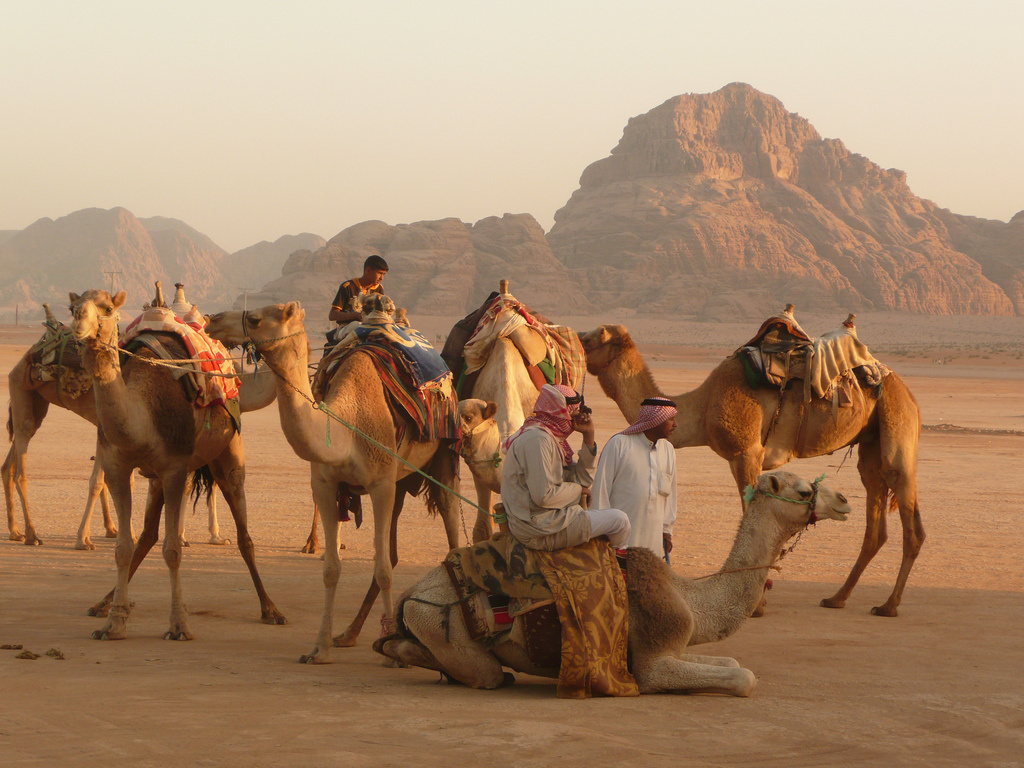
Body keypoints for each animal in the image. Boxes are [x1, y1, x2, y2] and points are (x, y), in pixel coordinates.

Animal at [71, 290, 284, 643]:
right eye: (73, 307)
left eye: (107, 309)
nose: (78, 324)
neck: (142, 415)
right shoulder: (118, 467)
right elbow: (123, 548)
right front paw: (113, 624)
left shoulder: (174, 469)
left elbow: (172, 550)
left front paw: (179, 626)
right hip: (158, 478)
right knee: (147, 535)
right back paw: (102, 604)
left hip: (228, 452)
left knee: (244, 533)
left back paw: (270, 609)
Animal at [203, 301, 460, 663]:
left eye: (254, 318)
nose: (211, 321)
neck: (346, 427)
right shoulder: (326, 486)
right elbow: (332, 569)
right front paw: (319, 648)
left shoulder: (380, 484)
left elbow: (383, 569)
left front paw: (393, 654)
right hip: (400, 481)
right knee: (394, 549)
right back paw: (349, 634)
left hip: (442, 456)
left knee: (449, 528)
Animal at [376, 468, 847, 696]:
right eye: (804, 492)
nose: (843, 500)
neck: (688, 597)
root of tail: (413, 595)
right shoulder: (654, 661)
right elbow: (743, 678)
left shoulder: (678, 645)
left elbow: (730, 662)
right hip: (447, 628)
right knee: (484, 673)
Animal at [581, 319, 925, 618]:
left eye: (590, 339)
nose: (575, 337)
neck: (703, 407)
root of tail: (908, 392)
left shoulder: (746, 453)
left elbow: (750, 513)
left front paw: (756, 605)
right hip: (870, 441)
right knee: (875, 511)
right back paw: (837, 597)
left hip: (896, 423)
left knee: (908, 510)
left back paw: (888, 605)